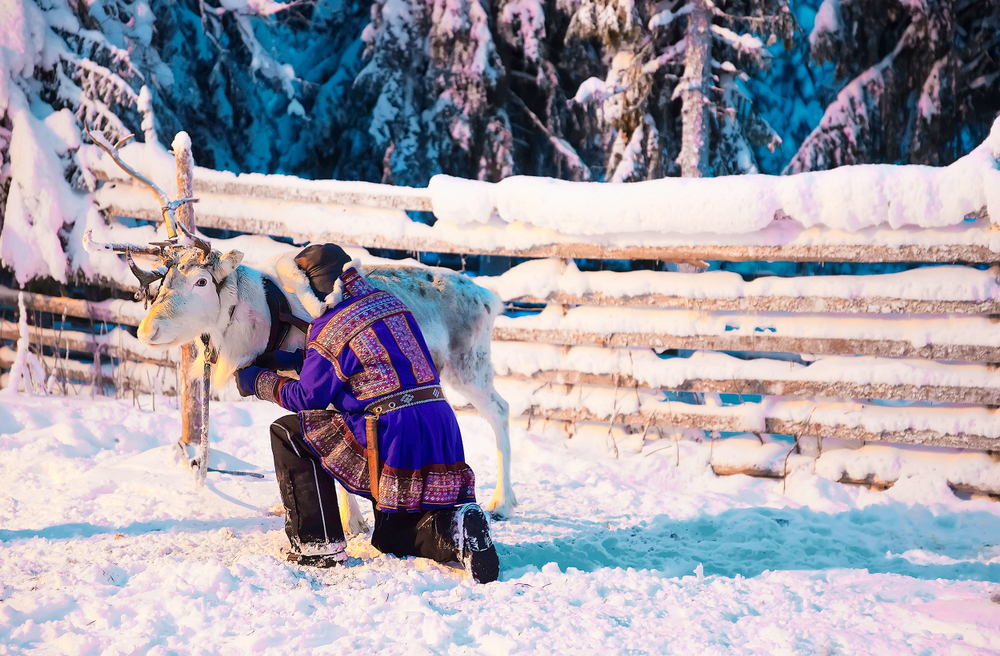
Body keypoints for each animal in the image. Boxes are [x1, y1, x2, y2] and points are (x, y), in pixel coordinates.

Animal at [83, 127, 517, 535]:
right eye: (164, 279)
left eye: (202, 281)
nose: (146, 330)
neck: (259, 317)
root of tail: (490, 298)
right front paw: (352, 519)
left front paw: (352, 522)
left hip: (469, 365)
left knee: (500, 409)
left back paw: (503, 502)